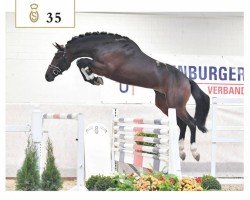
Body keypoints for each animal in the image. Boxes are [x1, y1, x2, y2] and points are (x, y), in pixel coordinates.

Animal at [45, 32, 211, 162]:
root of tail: (187, 80)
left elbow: (82, 61)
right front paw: (94, 79)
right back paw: (181, 152)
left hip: (176, 105)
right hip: (165, 104)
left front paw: (94, 79)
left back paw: (195, 153)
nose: (47, 76)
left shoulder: (106, 68)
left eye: (57, 57)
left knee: (191, 123)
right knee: (182, 125)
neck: (105, 46)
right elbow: (82, 63)